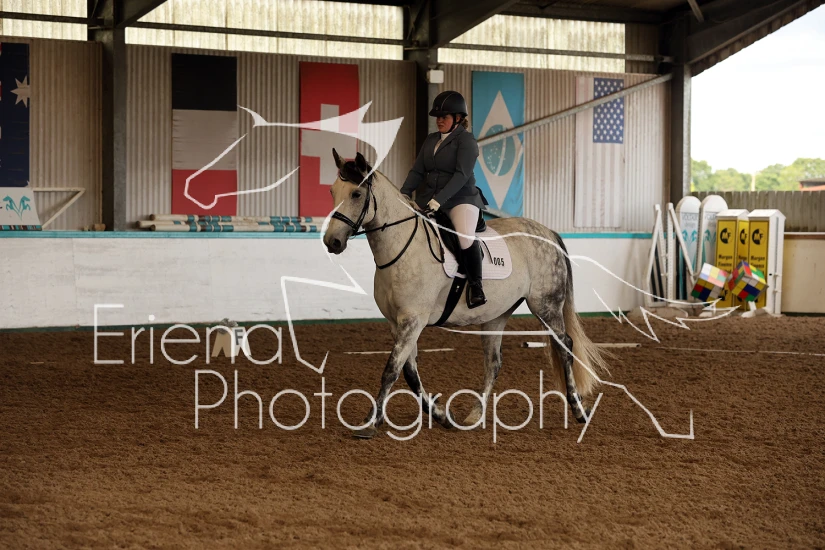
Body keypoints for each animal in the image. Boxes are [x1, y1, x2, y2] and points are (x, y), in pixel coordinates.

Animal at [324, 150, 608, 439]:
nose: (331, 242)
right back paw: (474, 415)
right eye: (332, 191)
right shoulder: (398, 323)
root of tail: (548, 232)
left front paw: (370, 422)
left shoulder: (413, 320)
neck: (402, 248)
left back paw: (578, 409)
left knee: (565, 346)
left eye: (357, 194)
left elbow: (391, 370)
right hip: (496, 314)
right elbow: (410, 374)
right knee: (493, 362)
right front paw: (441, 415)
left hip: (546, 306)